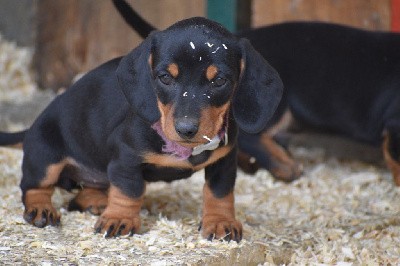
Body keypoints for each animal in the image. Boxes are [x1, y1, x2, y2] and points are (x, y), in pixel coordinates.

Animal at [1, 16, 282, 241]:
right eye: (165, 77)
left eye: (219, 80)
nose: (187, 129)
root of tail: (30, 129)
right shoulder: (126, 158)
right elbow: (129, 190)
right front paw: (120, 218)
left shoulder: (224, 162)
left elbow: (220, 193)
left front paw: (221, 221)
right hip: (45, 155)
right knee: (34, 186)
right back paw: (42, 209)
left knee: (86, 191)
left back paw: (96, 201)